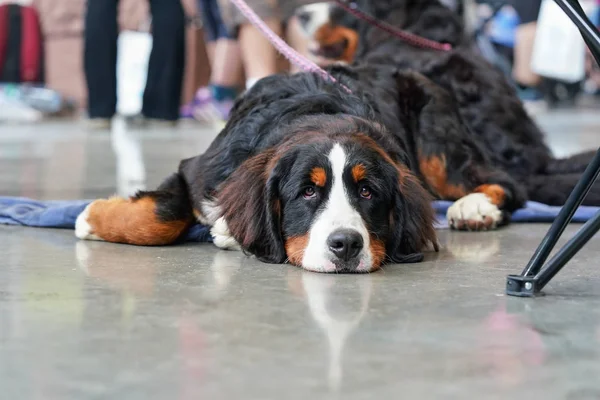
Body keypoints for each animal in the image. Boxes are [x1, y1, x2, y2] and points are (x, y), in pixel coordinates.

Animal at [75, 0, 600, 274]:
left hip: (437, 140)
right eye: (307, 192)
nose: (345, 244)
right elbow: (161, 215)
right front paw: (95, 217)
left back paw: (474, 207)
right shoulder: (201, 169)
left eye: (368, 192)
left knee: (505, 183)